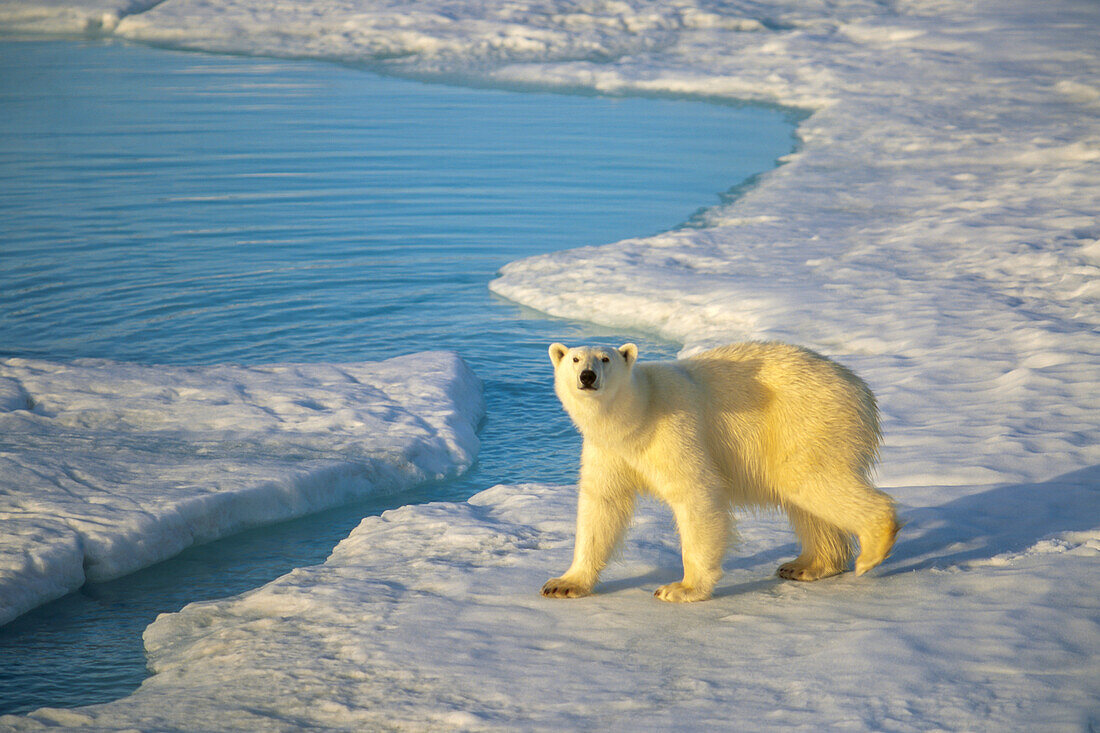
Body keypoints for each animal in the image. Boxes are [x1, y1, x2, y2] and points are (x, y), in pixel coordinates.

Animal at [539, 338, 893, 603]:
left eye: (605, 358)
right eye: (574, 358)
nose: (587, 376)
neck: (636, 414)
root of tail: (861, 388)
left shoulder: (673, 430)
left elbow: (696, 492)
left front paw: (680, 588)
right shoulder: (608, 451)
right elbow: (602, 505)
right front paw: (563, 583)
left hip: (808, 420)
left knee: (811, 481)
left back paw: (871, 550)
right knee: (805, 499)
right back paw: (807, 565)